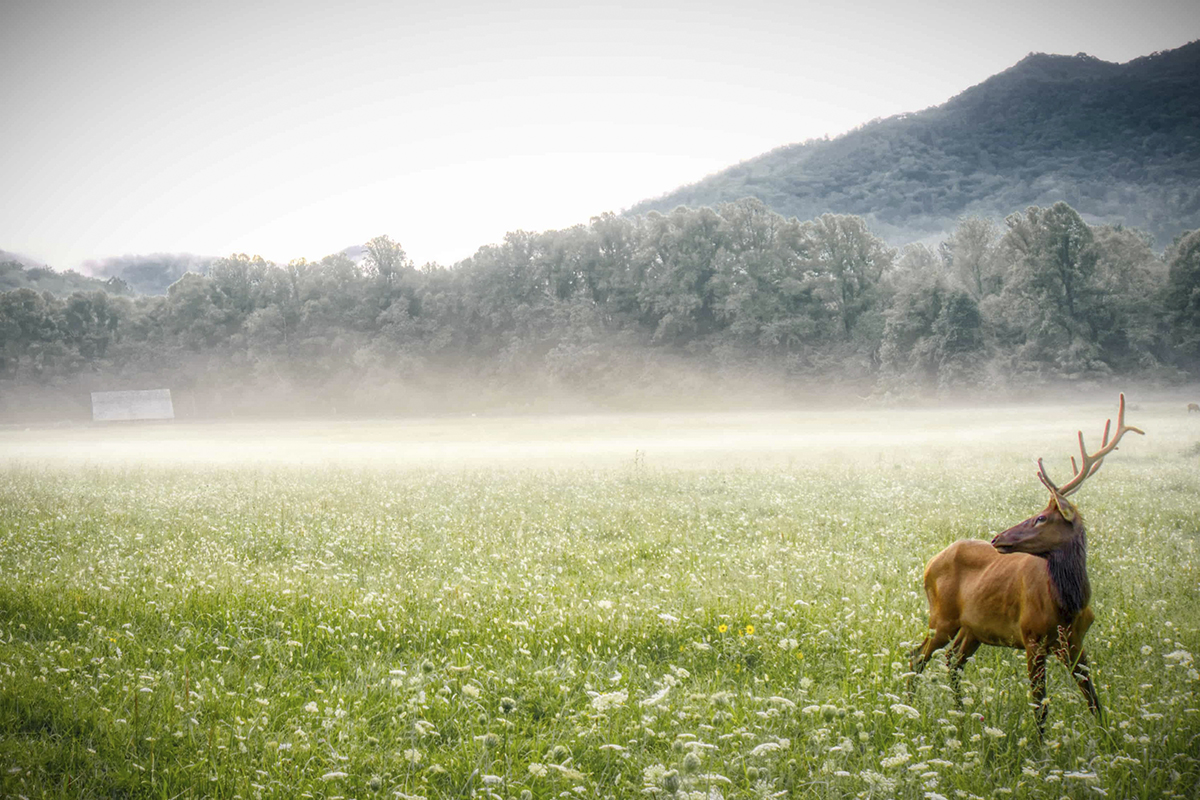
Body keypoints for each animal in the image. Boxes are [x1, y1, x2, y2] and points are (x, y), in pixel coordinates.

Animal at [909, 394, 1143, 734]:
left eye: (1042, 518)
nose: (997, 538)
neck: (1067, 605)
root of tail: (930, 562)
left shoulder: (1075, 641)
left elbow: (1094, 700)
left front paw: (1108, 738)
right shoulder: (1031, 636)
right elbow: (1040, 707)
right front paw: (1041, 745)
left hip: (973, 628)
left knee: (953, 661)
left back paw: (960, 715)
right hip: (941, 617)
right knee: (917, 657)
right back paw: (910, 708)